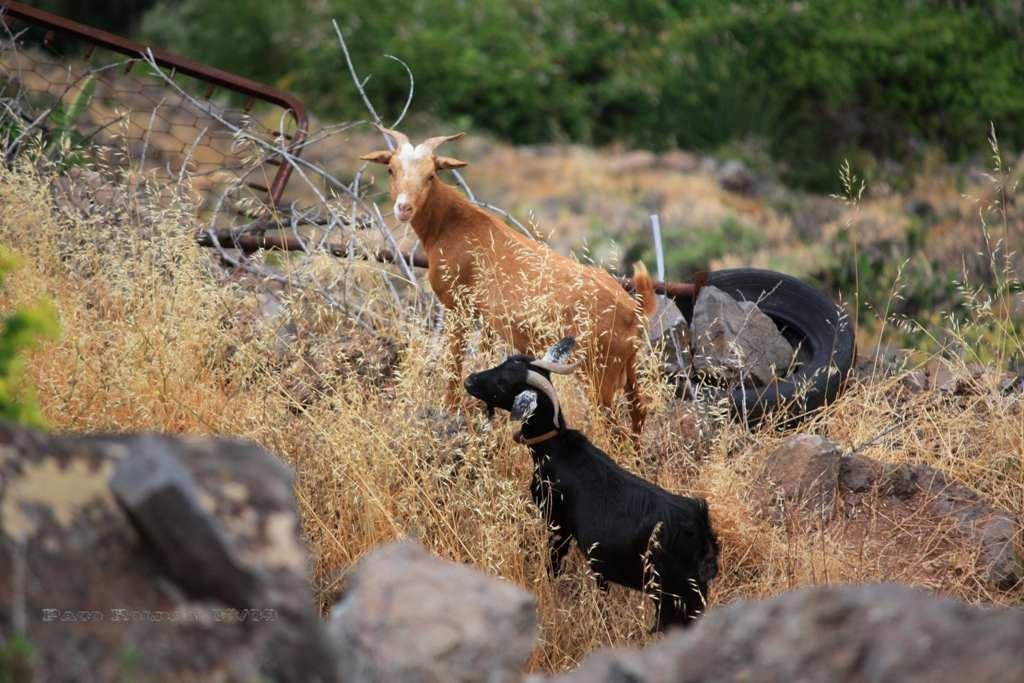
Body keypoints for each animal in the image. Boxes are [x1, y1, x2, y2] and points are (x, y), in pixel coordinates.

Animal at [362, 126, 655, 438]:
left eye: (431, 174)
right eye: (391, 169)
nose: (404, 208)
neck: (453, 225)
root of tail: (635, 311)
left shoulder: (458, 306)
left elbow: (453, 363)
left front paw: (448, 410)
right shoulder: (487, 320)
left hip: (599, 374)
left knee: (613, 428)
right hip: (628, 369)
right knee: (639, 413)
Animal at [464, 335, 720, 630]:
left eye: (505, 382)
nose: (469, 380)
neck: (556, 447)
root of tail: (700, 528)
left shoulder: (558, 523)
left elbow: (553, 566)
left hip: (672, 593)